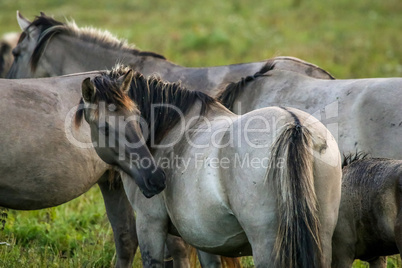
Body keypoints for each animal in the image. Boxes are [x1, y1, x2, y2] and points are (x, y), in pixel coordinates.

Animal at [76, 65, 342, 268]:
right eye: (105, 128)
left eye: (137, 117)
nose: (155, 179)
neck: (170, 131)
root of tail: (294, 125)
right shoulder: (205, 239)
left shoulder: (150, 225)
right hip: (322, 236)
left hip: (266, 245)